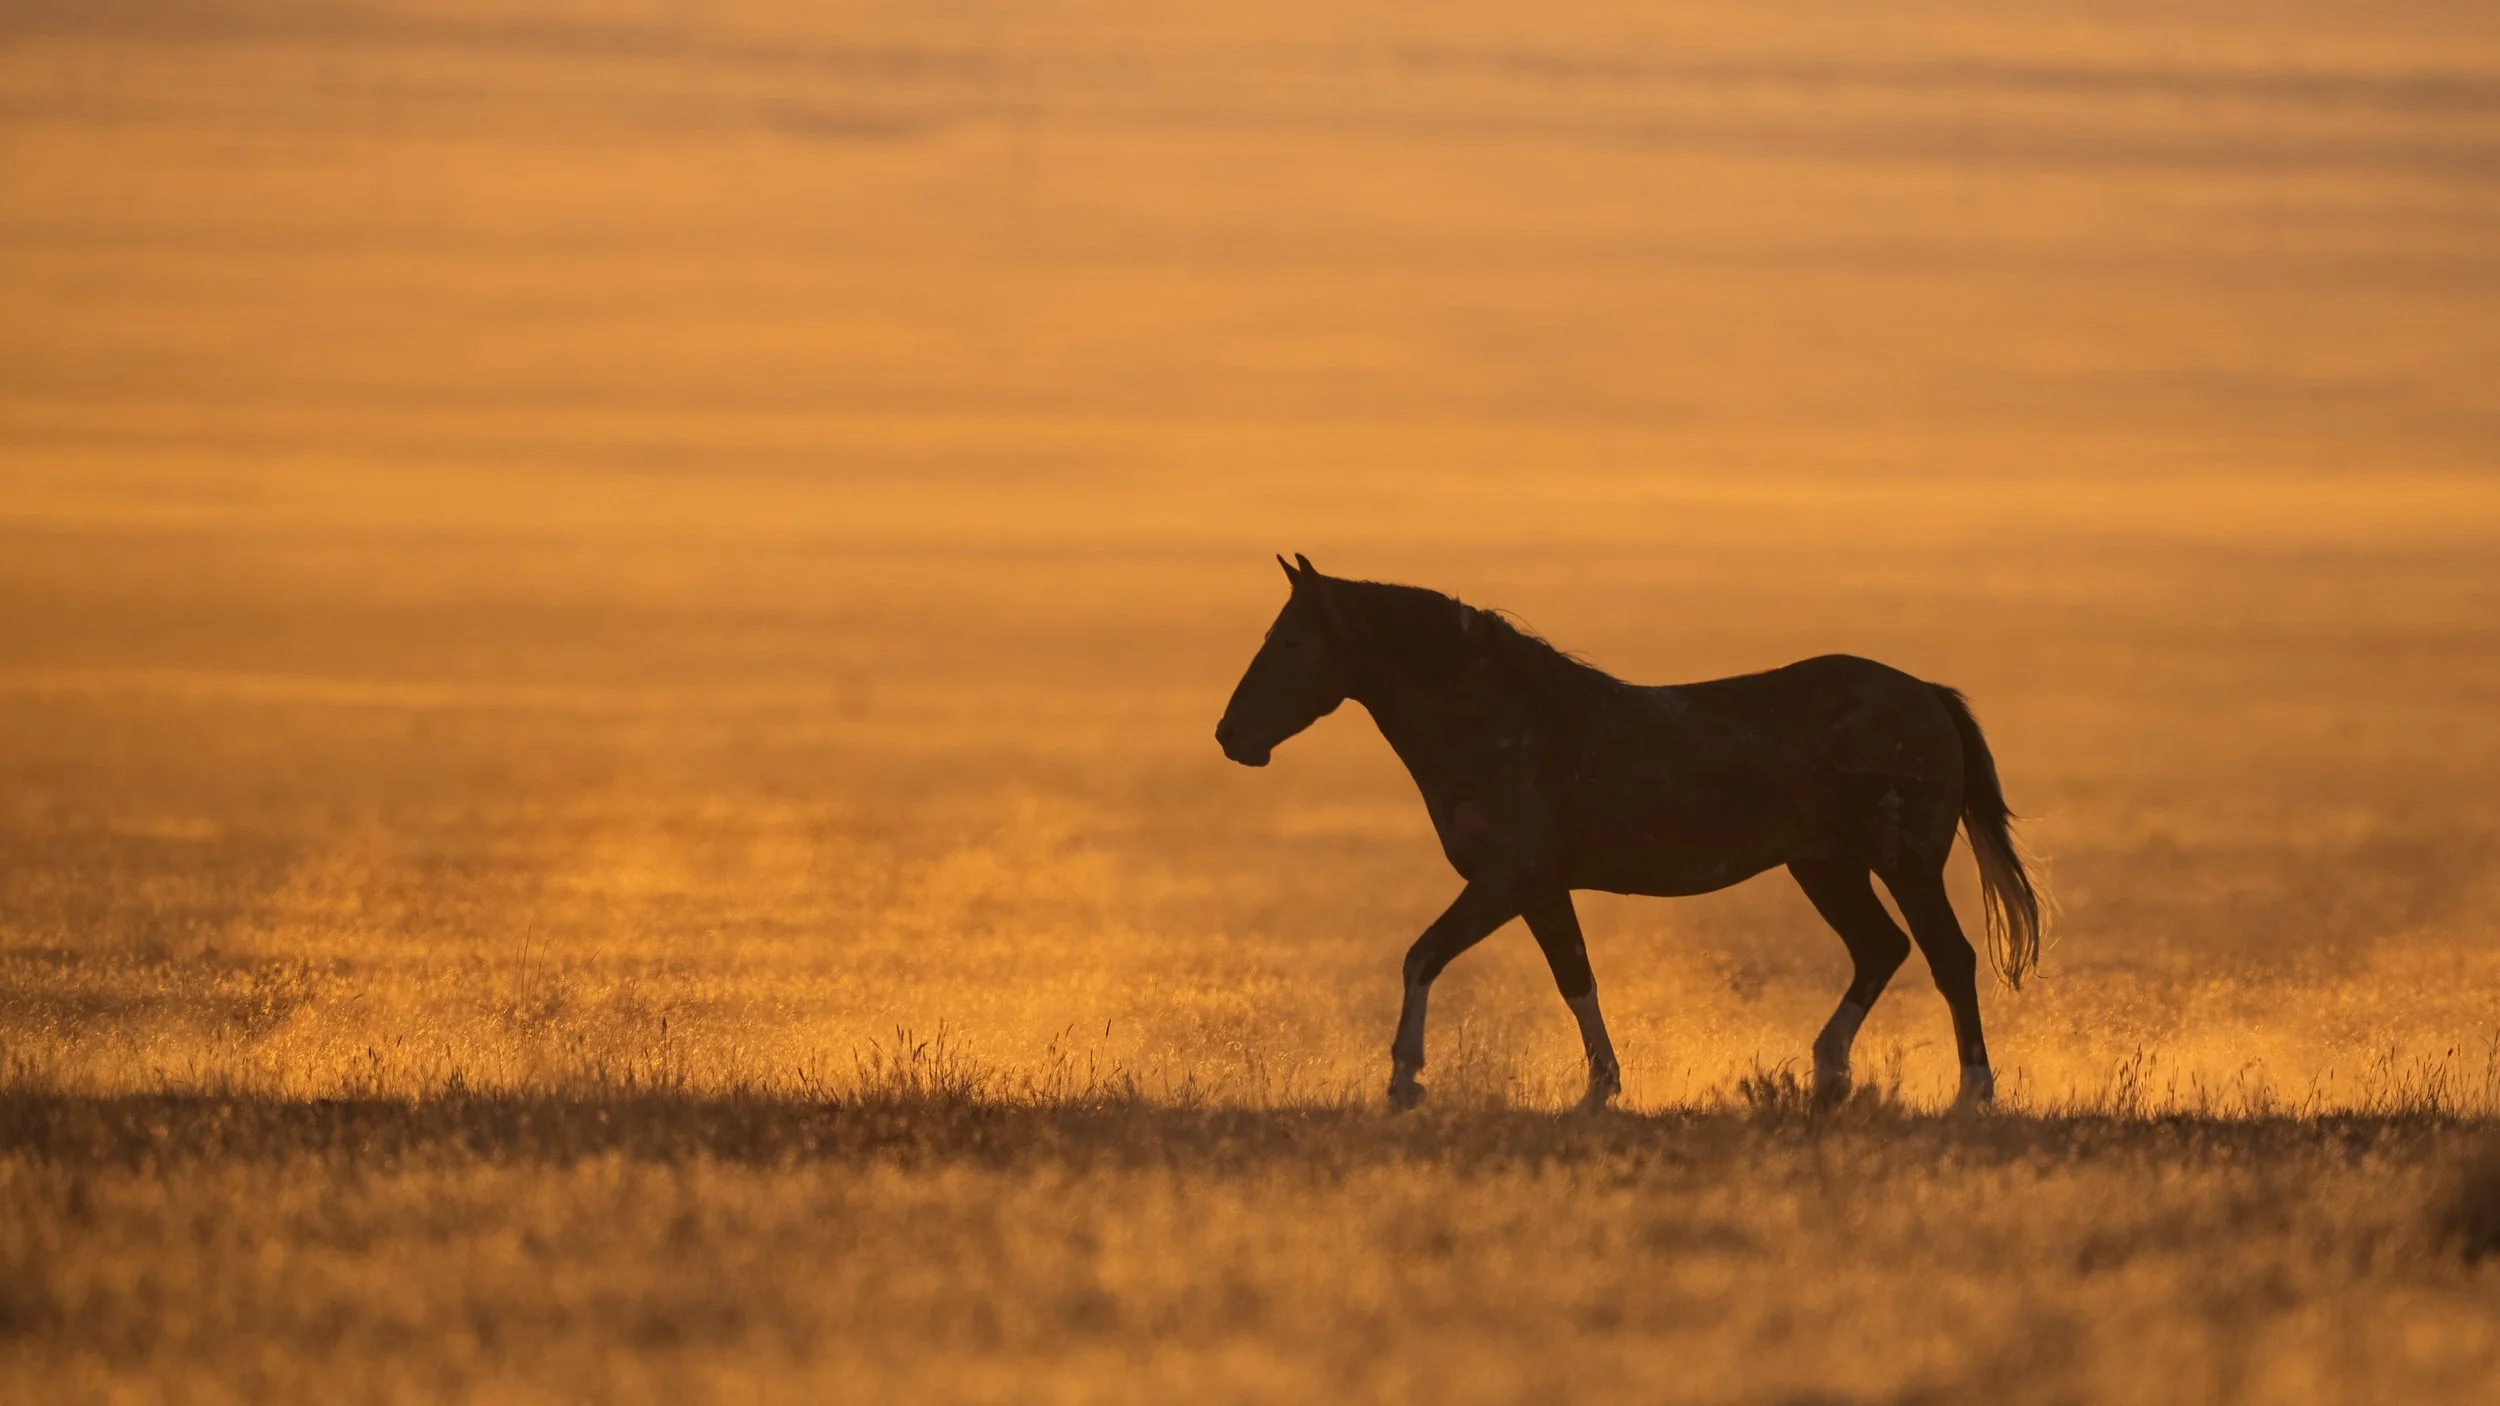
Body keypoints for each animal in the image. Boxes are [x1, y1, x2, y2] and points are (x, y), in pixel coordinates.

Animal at [1214, 555, 2045, 1111]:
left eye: (1291, 642)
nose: (1231, 736)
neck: (1505, 721)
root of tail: (1926, 695)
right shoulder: (1540, 889)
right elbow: (1575, 978)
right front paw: (1600, 1089)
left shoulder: (1508, 880)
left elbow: (1422, 956)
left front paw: (1404, 1079)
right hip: (1826, 867)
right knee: (1882, 949)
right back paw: (1827, 1075)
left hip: (1906, 864)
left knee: (1948, 957)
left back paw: (1971, 1093)